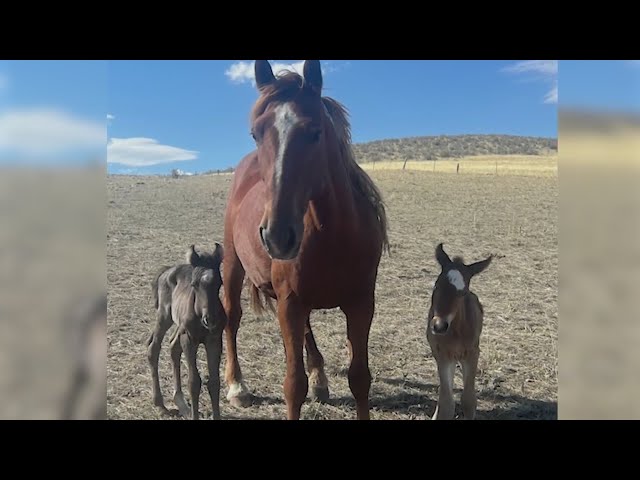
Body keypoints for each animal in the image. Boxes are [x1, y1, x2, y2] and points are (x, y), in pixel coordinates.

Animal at [222, 60, 388, 420]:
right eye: (256, 133)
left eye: (315, 132)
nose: (277, 235)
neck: (335, 236)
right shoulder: (289, 303)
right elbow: (292, 385)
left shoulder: (361, 303)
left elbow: (360, 377)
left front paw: (320, 377)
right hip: (232, 263)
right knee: (231, 316)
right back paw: (237, 386)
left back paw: (319, 377)